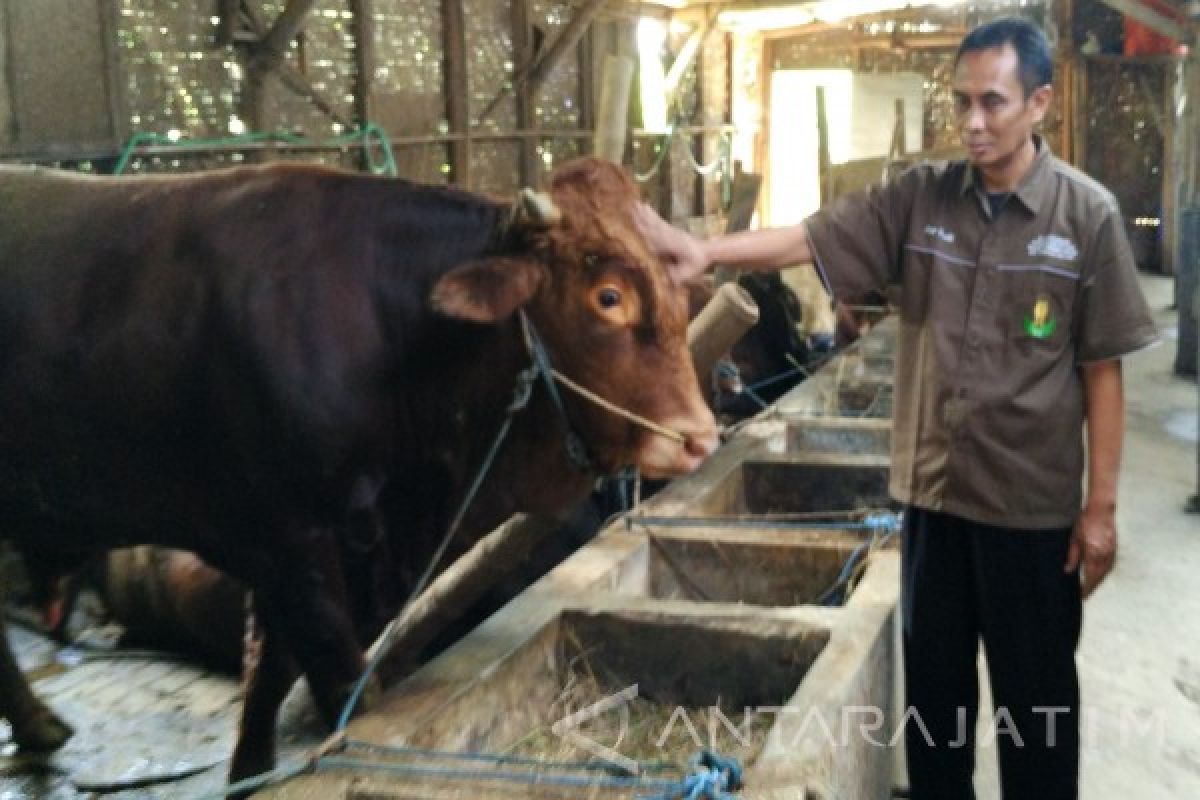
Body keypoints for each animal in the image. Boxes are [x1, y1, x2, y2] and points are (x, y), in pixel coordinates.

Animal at [0, 158, 715, 786]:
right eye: (609, 297)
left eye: (677, 286)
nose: (700, 437)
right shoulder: (292, 543)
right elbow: (339, 684)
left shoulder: (300, 551)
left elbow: (267, 676)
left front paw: (250, 774)